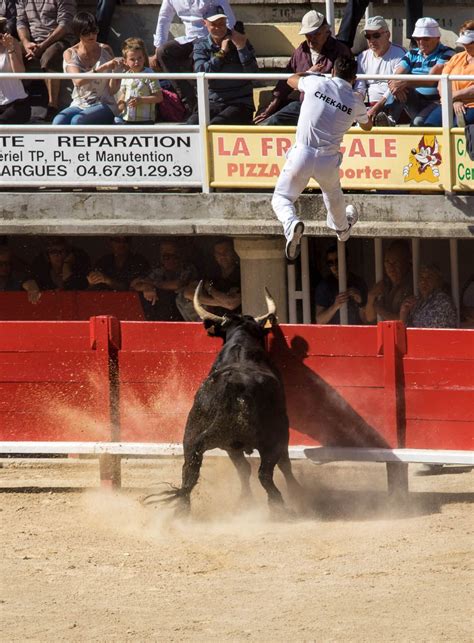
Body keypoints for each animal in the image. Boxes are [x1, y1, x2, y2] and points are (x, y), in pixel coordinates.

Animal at [153, 284, 300, 516]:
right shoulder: (281, 432)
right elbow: (284, 464)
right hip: (271, 437)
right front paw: (295, 491)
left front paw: (245, 500)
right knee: (265, 473)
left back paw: (182, 511)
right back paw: (280, 506)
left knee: (189, 471)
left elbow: (243, 470)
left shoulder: (232, 446)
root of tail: (234, 387)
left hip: (198, 437)